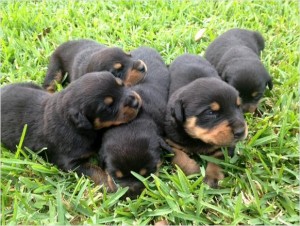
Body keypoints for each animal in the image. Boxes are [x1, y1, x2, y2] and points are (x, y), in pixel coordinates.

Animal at [1, 71, 142, 192]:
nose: (136, 101)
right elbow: (93, 169)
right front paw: (109, 184)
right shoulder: (70, 163)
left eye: (121, 84)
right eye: (108, 108)